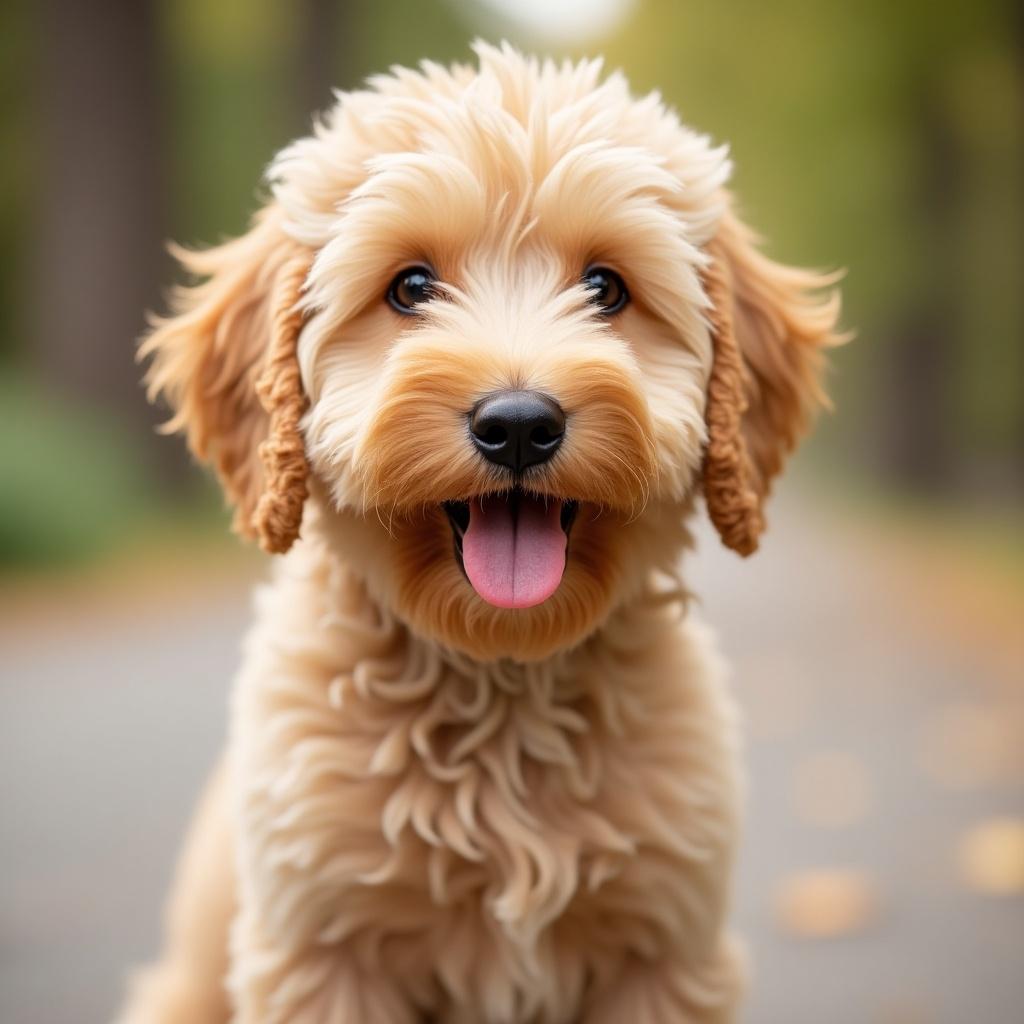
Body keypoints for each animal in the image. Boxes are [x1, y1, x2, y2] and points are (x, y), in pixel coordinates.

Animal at [117, 39, 839, 1024]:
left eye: (606, 287)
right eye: (411, 286)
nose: (520, 424)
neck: (501, 681)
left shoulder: (663, 951)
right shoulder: (322, 952)